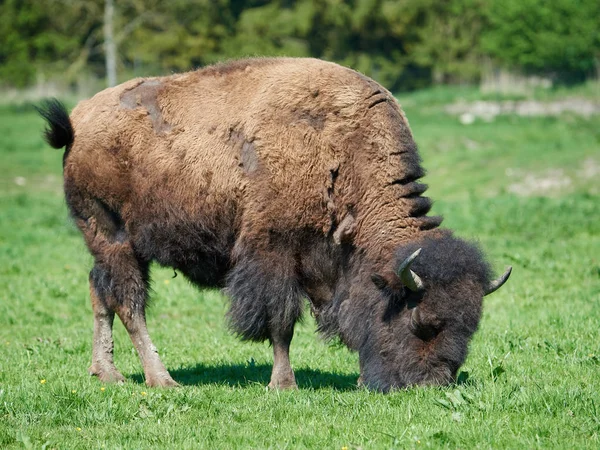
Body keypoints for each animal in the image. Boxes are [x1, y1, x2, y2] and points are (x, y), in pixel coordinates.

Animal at [38, 59, 510, 390]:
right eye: (423, 322)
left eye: (470, 327)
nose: (431, 385)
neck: (341, 150)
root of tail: (77, 124)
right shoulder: (275, 254)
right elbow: (280, 322)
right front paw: (284, 384)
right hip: (115, 237)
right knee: (129, 303)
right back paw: (163, 379)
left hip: (107, 246)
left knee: (100, 294)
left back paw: (108, 374)